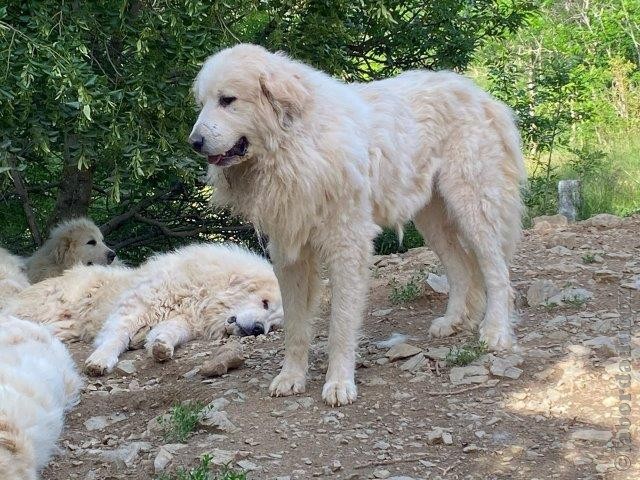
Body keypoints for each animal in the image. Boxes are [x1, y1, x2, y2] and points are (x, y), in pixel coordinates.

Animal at [3, 244, 282, 376]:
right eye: (264, 303)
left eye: (274, 325)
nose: (258, 330)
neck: (205, 293)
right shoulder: (136, 308)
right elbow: (116, 337)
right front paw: (100, 360)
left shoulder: (184, 321)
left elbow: (169, 332)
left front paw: (161, 346)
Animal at [188, 44, 524, 404]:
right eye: (203, 103)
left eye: (228, 100)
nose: (194, 142)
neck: (294, 144)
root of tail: (477, 92)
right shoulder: (289, 254)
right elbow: (295, 327)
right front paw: (291, 377)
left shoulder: (346, 244)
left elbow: (341, 324)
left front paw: (338, 383)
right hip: (431, 218)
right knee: (460, 267)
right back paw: (453, 321)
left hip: (472, 205)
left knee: (496, 272)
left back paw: (496, 332)